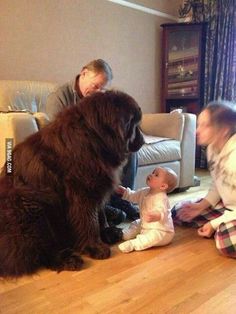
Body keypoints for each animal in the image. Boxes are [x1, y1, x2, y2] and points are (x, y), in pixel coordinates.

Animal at [0, 89, 144, 276]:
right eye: (134, 123)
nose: (143, 141)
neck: (95, 137)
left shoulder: (97, 187)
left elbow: (100, 214)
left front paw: (107, 232)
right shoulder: (82, 192)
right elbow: (88, 220)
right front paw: (95, 247)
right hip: (31, 206)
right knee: (39, 249)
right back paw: (67, 259)